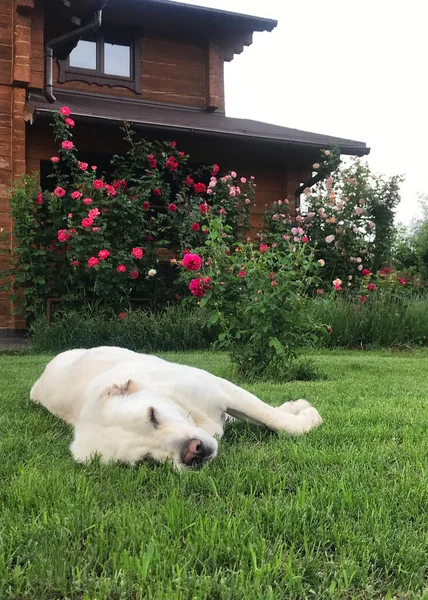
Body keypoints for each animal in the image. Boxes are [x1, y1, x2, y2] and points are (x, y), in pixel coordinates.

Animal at [30, 346, 322, 468]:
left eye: (152, 415)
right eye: (145, 461)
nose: (193, 453)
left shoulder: (222, 388)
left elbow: (274, 419)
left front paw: (306, 415)